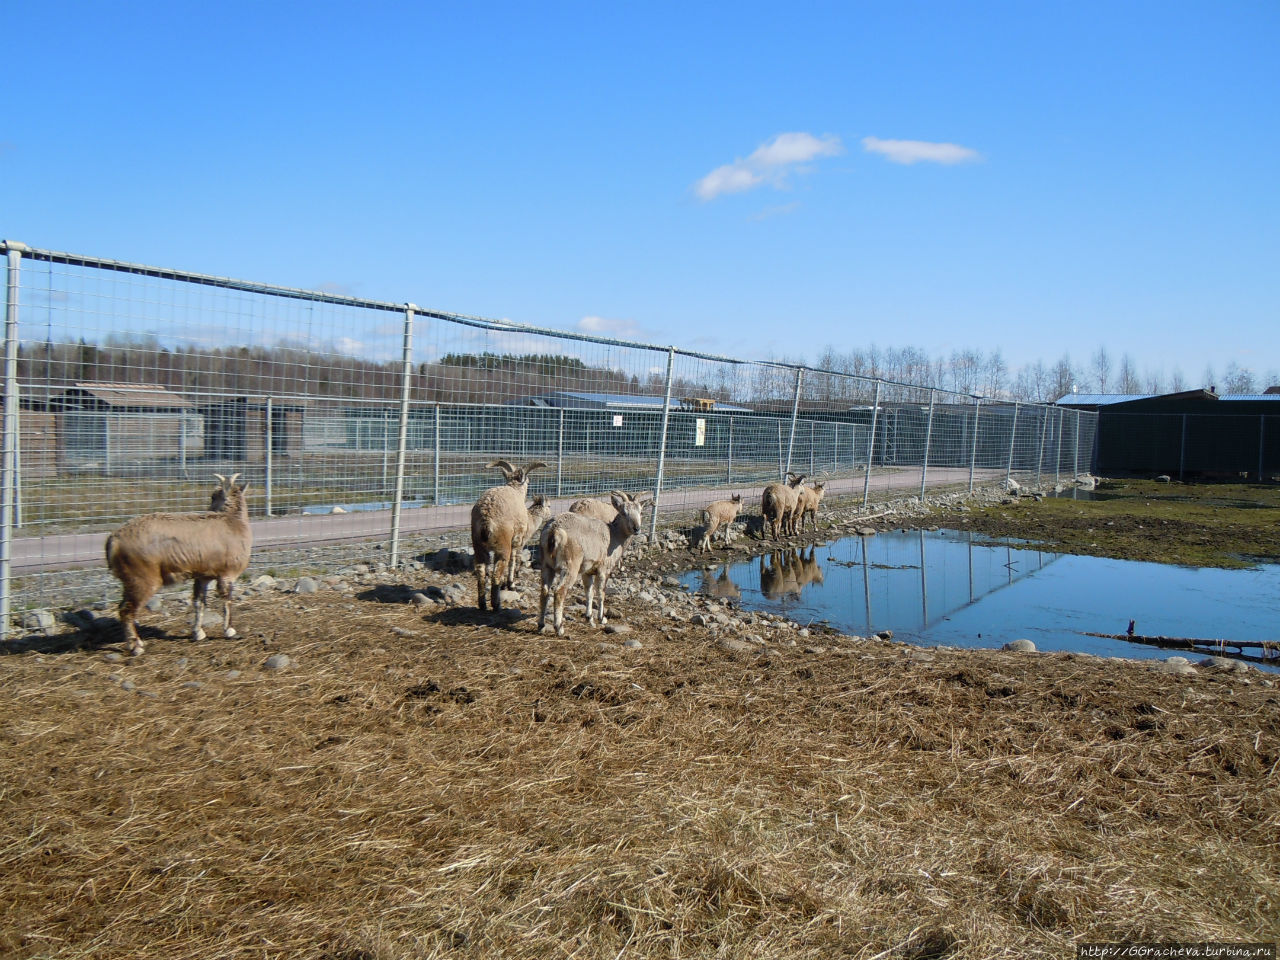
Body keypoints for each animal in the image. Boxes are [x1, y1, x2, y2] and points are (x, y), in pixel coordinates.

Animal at [107, 476, 254, 660]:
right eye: (212, 496)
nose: (210, 508)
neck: (233, 522)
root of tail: (114, 540)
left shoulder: (203, 576)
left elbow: (199, 602)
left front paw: (198, 633)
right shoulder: (227, 574)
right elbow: (226, 600)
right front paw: (230, 631)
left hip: (130, 580)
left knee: (123, 607)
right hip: (141, 578)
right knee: (126, 611)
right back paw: (136, 647)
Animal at [473, 458, 547, 609]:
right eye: (528, 481)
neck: (515, 491)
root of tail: (485, 518)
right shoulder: (518, 539)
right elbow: (514, 560)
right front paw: (511, 584)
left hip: (477, 545)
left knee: (481, 572)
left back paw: (482, 604)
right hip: (502, 546)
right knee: (497, 573)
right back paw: (496, 605)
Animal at [537, 488, 645, 640]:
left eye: (640, 511)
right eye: (624, 512)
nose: (636, 528)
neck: (614, 536)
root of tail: (554, 530)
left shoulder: (587, 571)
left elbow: (589, 592)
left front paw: (589, 618)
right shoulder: (604, 569)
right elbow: (601, 592)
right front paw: (602, 618)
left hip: (546, 564)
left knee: (544, 591)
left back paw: (541, 625)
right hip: (570, 565)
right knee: (559, 591)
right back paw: (559, 628)